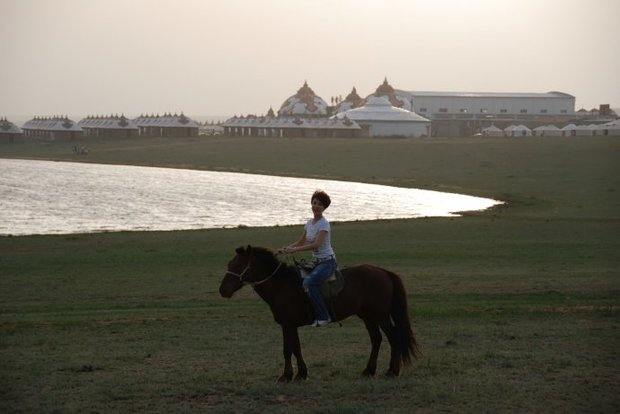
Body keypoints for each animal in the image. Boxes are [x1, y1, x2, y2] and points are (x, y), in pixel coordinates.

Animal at [219, 244, 422, 380]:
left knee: (393, 337)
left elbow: (288, 349)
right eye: (229, 264)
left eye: (238, 266)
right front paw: (301, 374)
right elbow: (295, 348)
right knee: (376, 339)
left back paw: (392, 371)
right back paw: (369, 371)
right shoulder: (290, 325)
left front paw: (287, 376)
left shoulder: (287, 324)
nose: (222, 290)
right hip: (367, 316)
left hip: (380, 315)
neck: (281, 285)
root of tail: (383, 272)